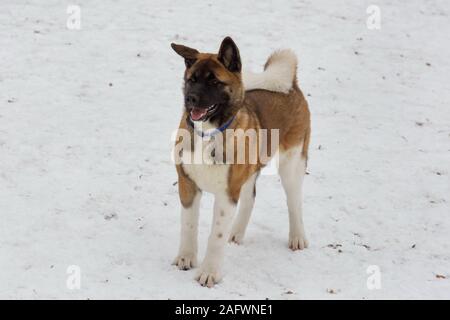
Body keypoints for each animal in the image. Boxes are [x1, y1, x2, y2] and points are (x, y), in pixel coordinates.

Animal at [171, 37, 312, 288]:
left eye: (214, 81)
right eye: (191, 80)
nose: (191, 99)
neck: (209, 133)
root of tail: (291, 85)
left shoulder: (226, 193)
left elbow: (215, 237)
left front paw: (209, 273)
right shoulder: (188, 184)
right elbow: (188, 225)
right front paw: (186, 258)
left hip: (293, 164)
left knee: (294, 202)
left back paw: (297, 238)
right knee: (250, 198)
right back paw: (236, 233)